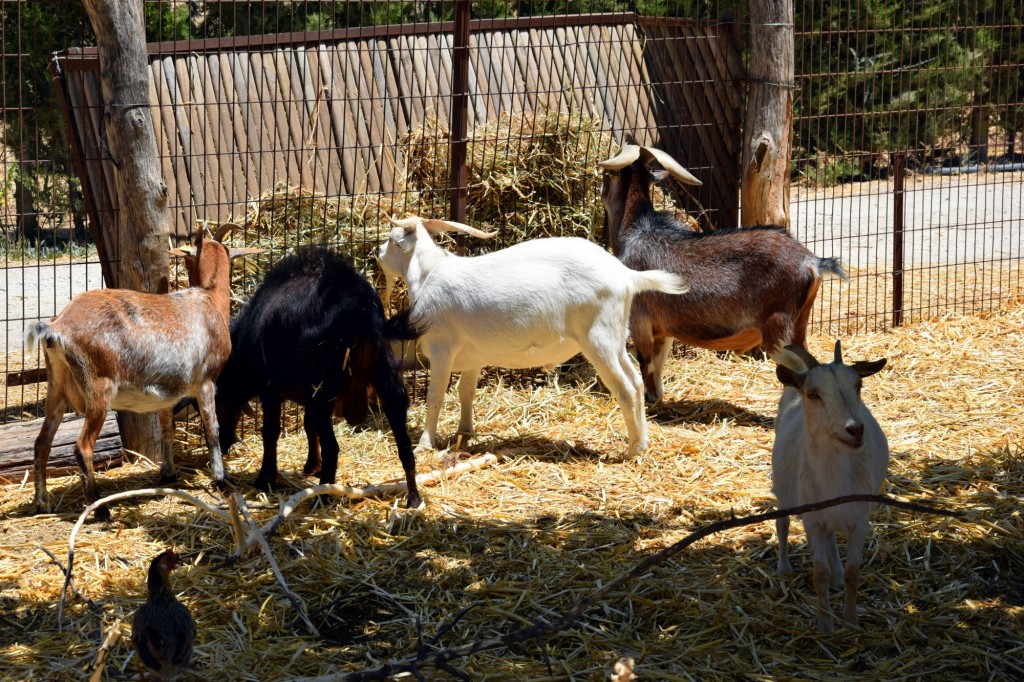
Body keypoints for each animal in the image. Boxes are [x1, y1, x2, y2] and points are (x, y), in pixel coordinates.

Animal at [24, 225, 260, 518]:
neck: (209, 299)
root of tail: (57, 328)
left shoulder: (169, 392)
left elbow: (166, 429)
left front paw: (168, 473)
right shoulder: (205, 381)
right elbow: (212, 427)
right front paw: (220, 476)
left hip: (56, 386)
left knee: (42, 442)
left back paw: (42, 502)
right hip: (99, 388)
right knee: (82, 447)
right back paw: (99, 508)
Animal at [216, 246, 423, 507]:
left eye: (218, 398)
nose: (222, 443)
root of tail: (360, 311)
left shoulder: (271, 388)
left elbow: (271, 431)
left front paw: (266, 479)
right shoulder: (307, 392)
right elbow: (307, 425)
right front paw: (311, 465)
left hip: (323, 387)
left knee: (332, 447)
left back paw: (323, 495)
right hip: (382, 375)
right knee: (403, 441)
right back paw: (413, 497)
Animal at [376, 215, 688, 454]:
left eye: (392, 239)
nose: (377, 251)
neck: (429, 275)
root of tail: (626, 276)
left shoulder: (442, 349)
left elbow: (436, 397)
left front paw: (425, 444)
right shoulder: (473, 356)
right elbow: (466, 393)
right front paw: (465, 433)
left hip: (598, 340)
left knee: (625, 388)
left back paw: (633, 449)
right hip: (615, 339)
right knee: (636, 382)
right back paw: (643, 443)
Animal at [598, 143, 847, 399]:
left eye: (607, 177)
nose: (601, 189)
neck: (636, 231)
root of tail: (812, 262)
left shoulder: (640, 320)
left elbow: (645, 365)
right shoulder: (664, 329)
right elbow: (657, 367)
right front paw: (658, 399)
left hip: (778, 329)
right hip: (800, 322)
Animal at [774, 342, 888, 630]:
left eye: (858, 385)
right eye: (813, 394)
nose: (855, 429)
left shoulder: (858, 519)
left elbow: (853, 573)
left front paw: (850, 619)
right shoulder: (812, 518)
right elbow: (820, 573)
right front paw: (825, 624)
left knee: (831, 539)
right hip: (783, 491)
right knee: (782, 523)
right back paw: (784, 569)